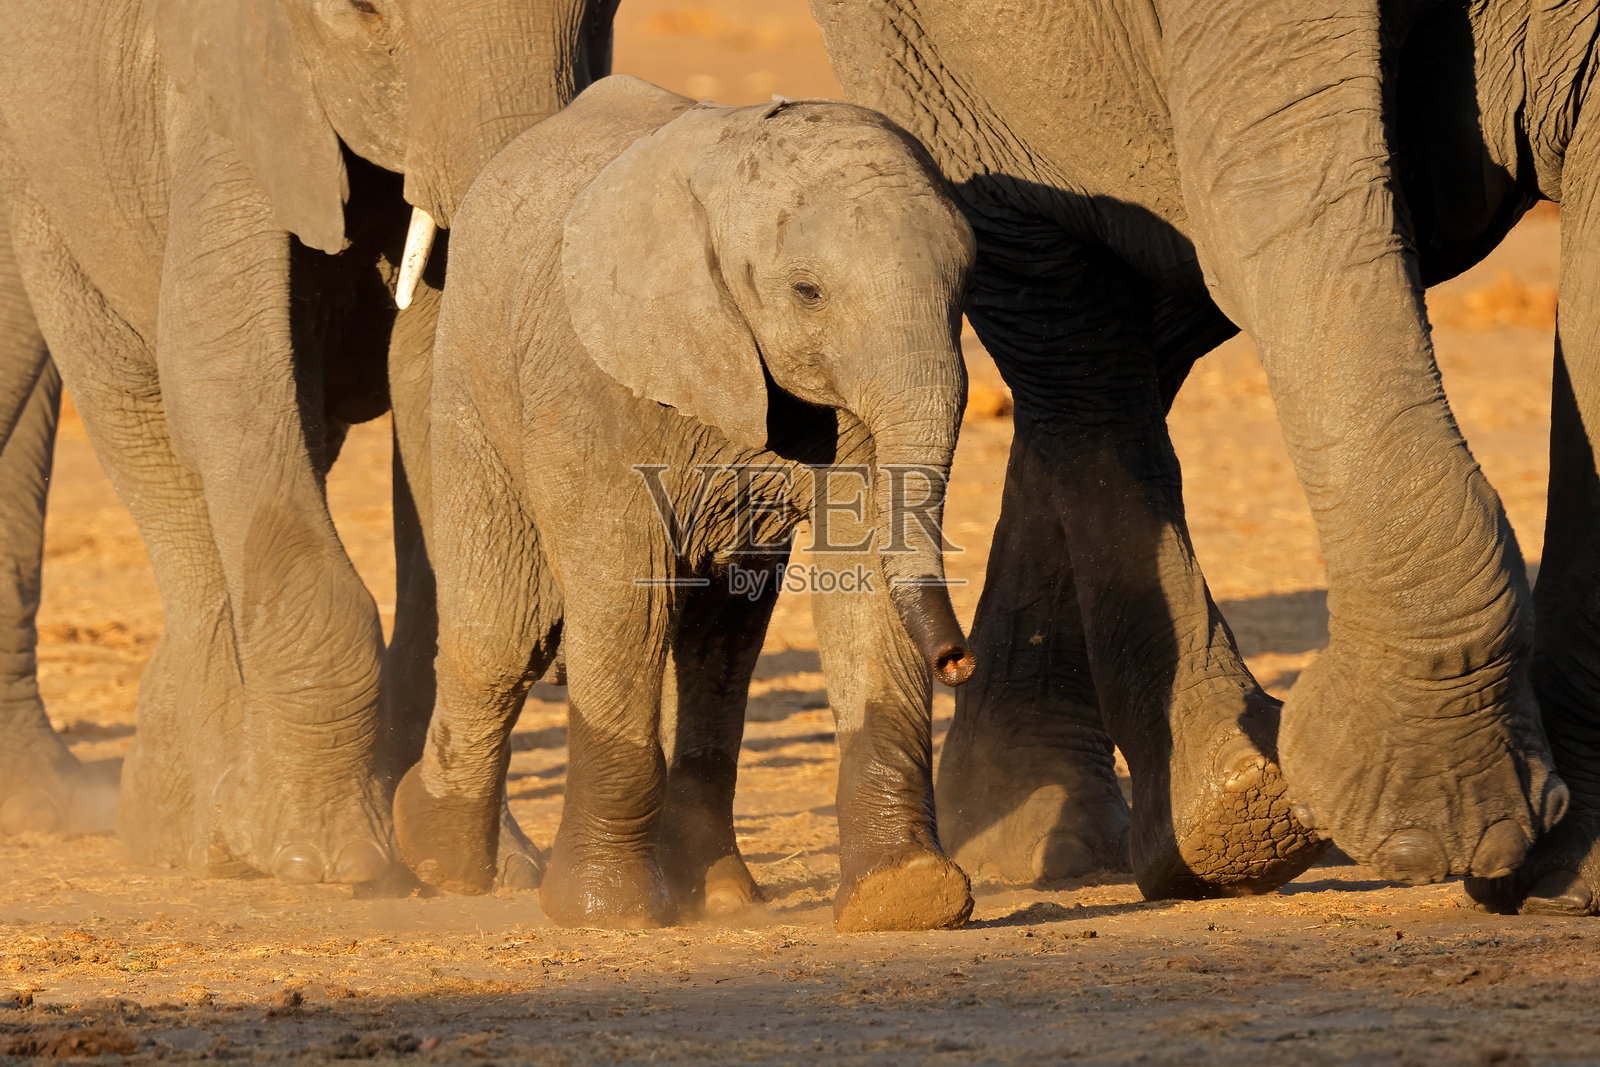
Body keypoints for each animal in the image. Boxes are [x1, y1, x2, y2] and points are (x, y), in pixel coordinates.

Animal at [0, 0, 617, 885]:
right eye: (364, 14)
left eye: (601, 14)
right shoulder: (226, 86)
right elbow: (219, 361)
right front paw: (323, 859)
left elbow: (433, 378)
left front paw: (478, 867)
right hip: (49, 182)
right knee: (145, 422)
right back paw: (211, 840)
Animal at [392, 74, 981, 931]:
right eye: (808, 292)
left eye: (966, 284)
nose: (957, 658)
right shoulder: (589, 377)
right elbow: (621, 591)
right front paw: (606, 913)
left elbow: (865, 575)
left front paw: (908, 898)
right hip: (472, 374)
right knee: (503, 632)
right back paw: (439, 860)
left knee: (718, 639)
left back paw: (721, 892)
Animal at [812, 0, 1586, 907]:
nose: (950, 660)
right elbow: (1264, 186)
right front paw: (1449, 822)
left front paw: (1559, 871)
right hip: (921, 66)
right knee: (1060, 302)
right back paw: (1226, 823)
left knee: (1151, 299)